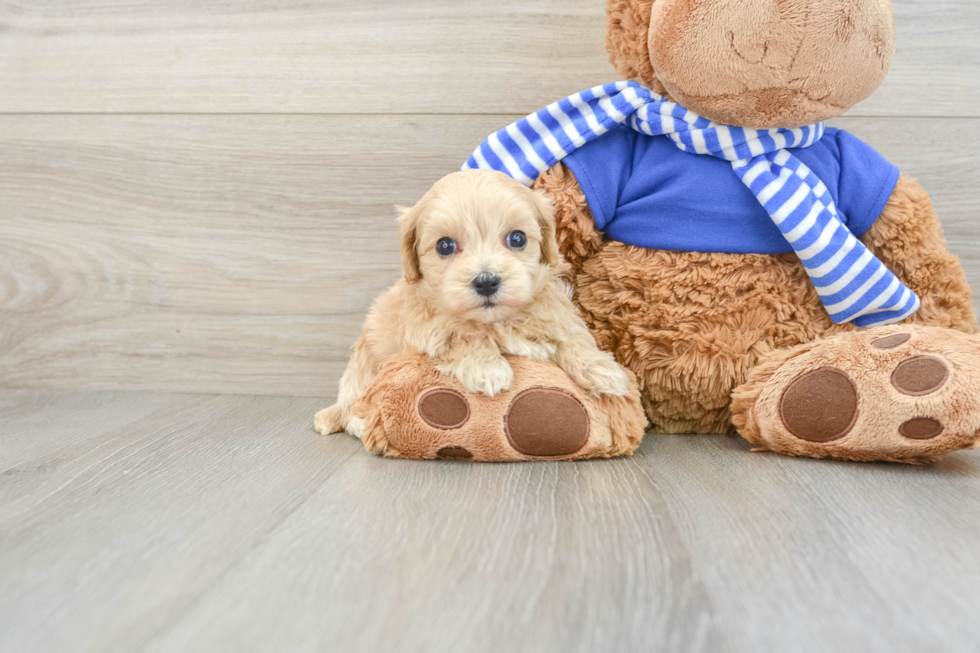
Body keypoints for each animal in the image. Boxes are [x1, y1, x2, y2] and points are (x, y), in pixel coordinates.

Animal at [318, 168, 632, 438]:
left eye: (517, 238)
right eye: (445, 245)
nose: (486, 281)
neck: (498, 320)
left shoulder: (556, 312)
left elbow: (574, 336)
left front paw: (601, 369)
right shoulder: (425, 331)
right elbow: (461, 335)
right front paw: (487, 368)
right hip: (361, 373)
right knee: (352, 410)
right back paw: (361, 424)